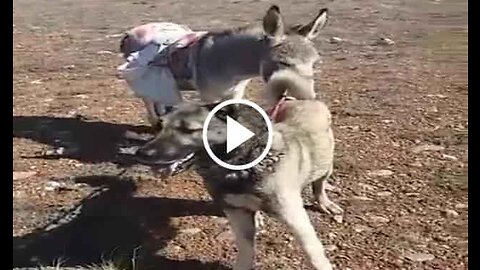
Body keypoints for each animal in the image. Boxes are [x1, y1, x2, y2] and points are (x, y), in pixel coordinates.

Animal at [119, 5, 330, 128]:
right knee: (147, 100)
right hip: (140, 74)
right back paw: (156, 123)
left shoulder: (236, 92)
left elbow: (234, 114)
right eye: (283, 63)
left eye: (314, 63)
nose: (309, 100)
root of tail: (131, 32)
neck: (229, 64)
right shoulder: (209, 95)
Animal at [135, 99, 344, 270]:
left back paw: (325, 202)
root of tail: (302, 100)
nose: (142, 153)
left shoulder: (294, 216)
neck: (240, 167)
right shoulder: (236, 213)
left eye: (188, 130)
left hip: (326, 165)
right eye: (160, 127)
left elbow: (312, 251)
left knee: (319, 185)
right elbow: (245, 249)